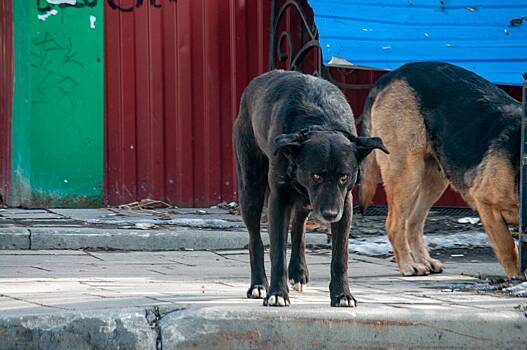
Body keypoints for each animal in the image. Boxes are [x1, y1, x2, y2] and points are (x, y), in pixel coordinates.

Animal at [233, 70, 390, 306]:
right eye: (316, 175)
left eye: (344, 177)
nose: (330, 215)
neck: (320, 122)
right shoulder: (279, 200)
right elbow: (277, 252)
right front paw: (277, 293)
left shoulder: (345, 204)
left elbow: (340, 257)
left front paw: (342, 295)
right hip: (251, 188)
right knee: (255, 240)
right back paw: (259, 285)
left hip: (306, 201)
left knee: (298, 226)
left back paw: (298, 272)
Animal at [358, 60, 524, 278]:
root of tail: (392, 74)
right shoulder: (487, 205)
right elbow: (508, 248)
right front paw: (517, 278)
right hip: (407, 171)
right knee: (395, 224)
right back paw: (408, 265)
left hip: (435, 179)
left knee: (412, 223)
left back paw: (423, 260)